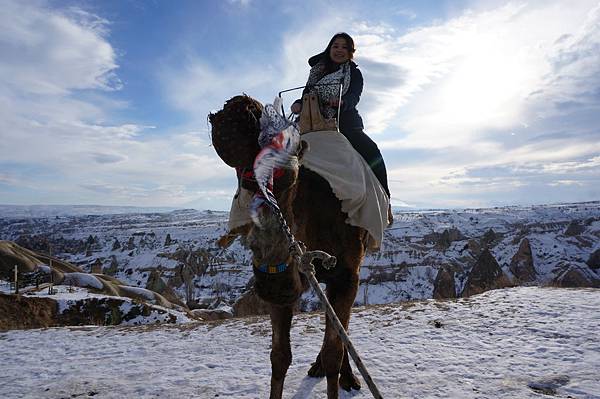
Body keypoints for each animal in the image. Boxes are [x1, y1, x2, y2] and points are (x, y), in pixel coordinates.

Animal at [210, 94, 370, 399]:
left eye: (290, 177)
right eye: (243, 180)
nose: (276, 284)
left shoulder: (347, 274)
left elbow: (335, 347)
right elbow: (279, 356)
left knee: (340, 328)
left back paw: (347, 375)